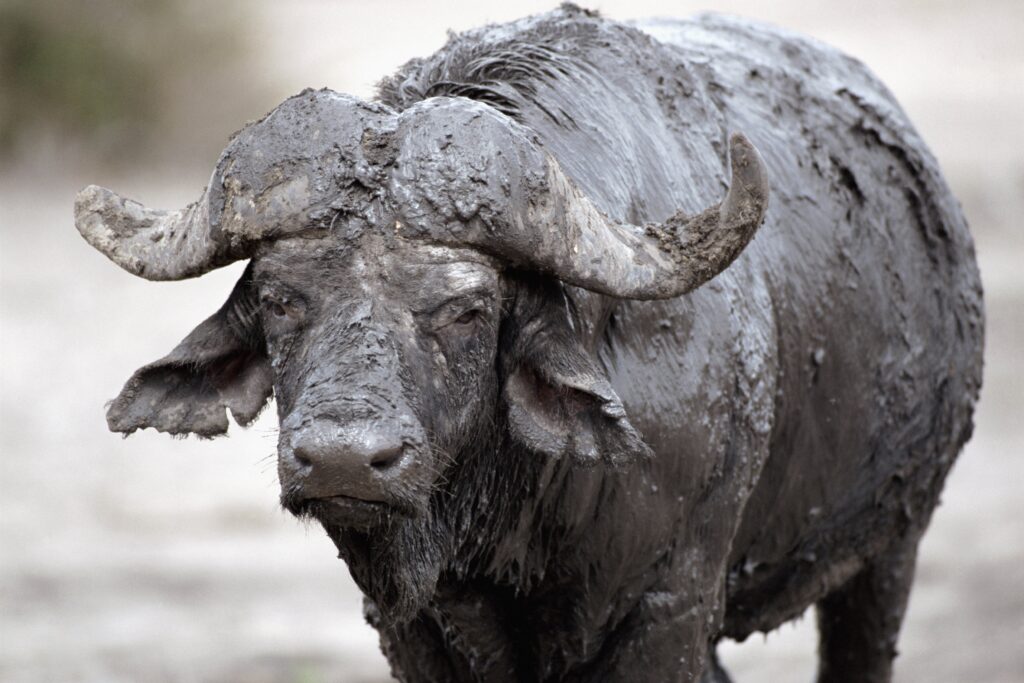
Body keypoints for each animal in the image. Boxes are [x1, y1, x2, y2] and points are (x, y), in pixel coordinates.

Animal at [75, 6, 983, 682]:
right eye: (277, 298)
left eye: (468, 308)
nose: (342, 459)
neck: (513, 520)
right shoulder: (412, 626)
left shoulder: (672, 606)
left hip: (893, 543)